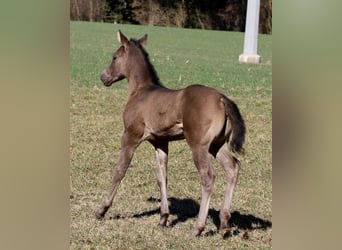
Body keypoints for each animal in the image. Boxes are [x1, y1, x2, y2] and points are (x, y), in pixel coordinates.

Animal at [95, 30, 246, 237]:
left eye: (114, 57)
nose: (104, 77)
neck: (140, 92)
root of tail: (222, 99)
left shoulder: (130, 137)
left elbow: (120, 170)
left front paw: (101, 210)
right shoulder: (160, 142)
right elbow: (162, 176)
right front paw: (163, 218)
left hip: (198, 145)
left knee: (208, 176)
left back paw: (198, 227)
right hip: (217, 145)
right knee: (232, 167)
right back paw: (224, 224)